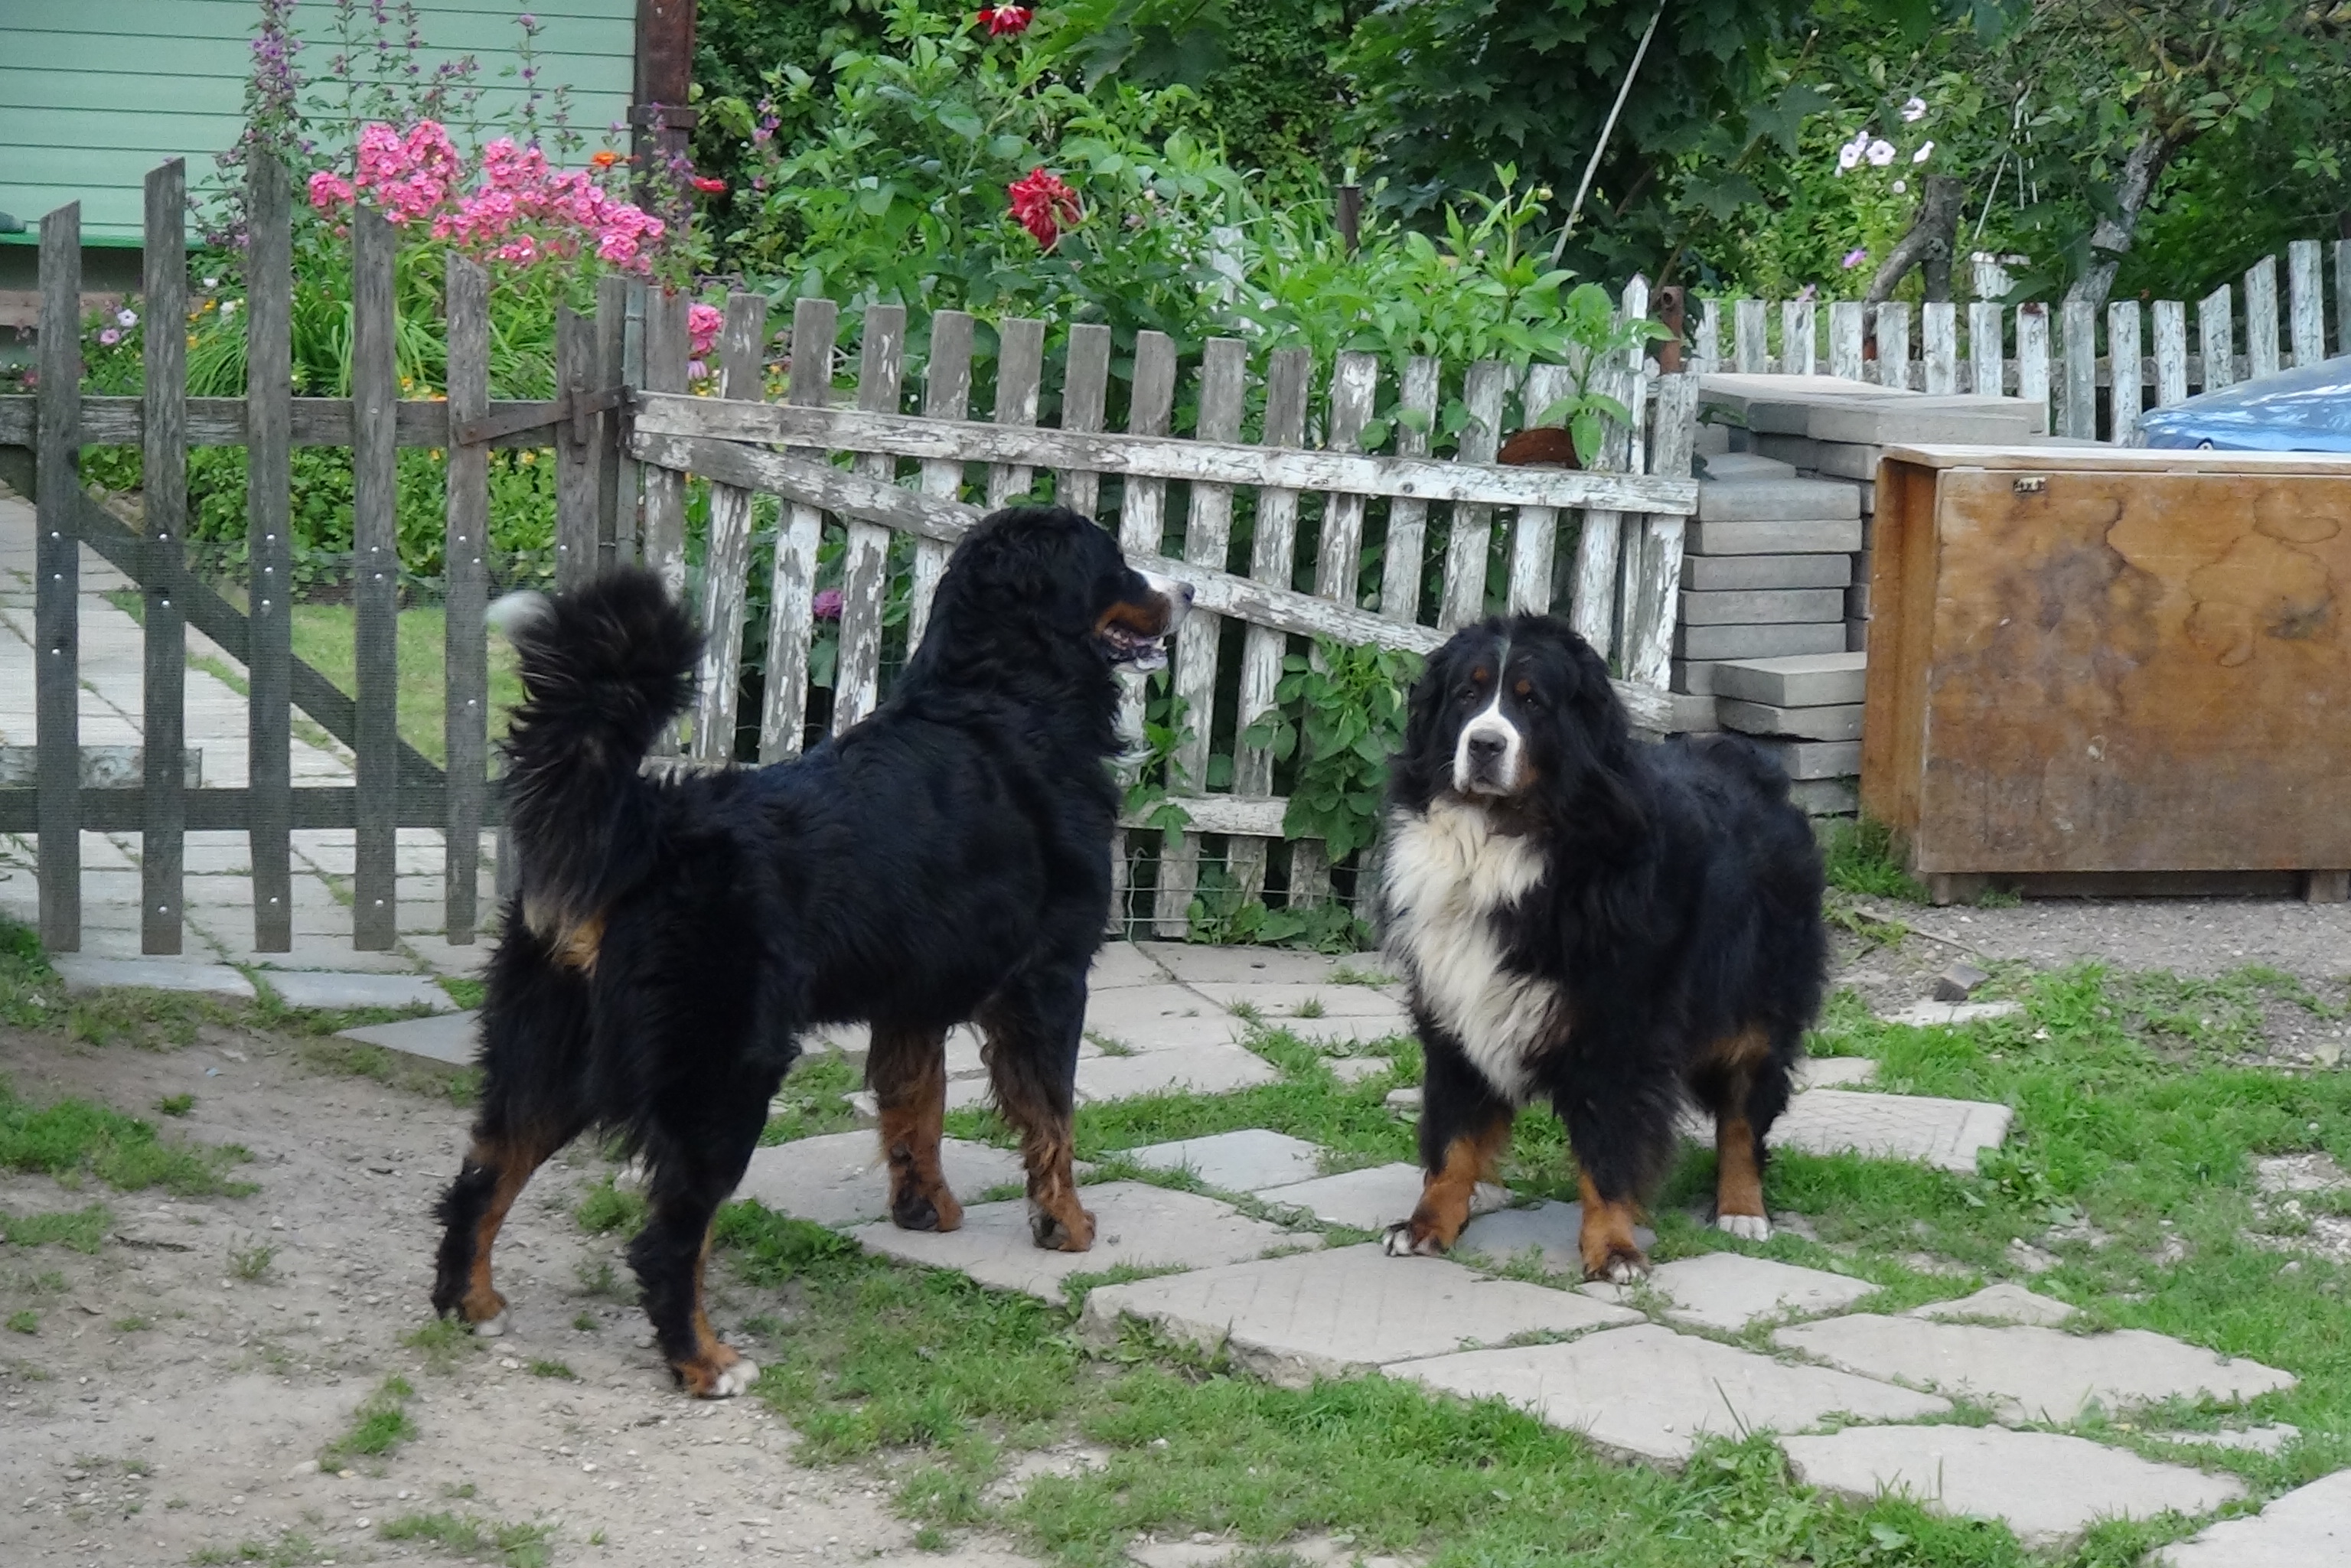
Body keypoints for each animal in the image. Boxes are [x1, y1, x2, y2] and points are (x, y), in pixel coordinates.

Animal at [426, 510, 1185, 1391]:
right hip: (722, 1072)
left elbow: (916, 1109)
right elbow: (1052, 1119)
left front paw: (925, 1210)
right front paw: (1066, 1224)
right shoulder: (1049, 981)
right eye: (1118, 563)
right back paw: (706, 1362)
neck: (1000, 699)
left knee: (483, 1176)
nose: (1186, 588)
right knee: (669, 1238)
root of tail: (641, 827)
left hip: (549, 1053)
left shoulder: (913, 995)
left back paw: (471, 1303)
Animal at [1373, 615, 1834, 1288]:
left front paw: (1613, 1248)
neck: (1502, 845)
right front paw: (1427, 1223)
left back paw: (1742, 1210)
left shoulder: (1618, 1030)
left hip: (1757, 1008)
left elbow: (1610, 1150)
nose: (1484, 744)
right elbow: (1453, 1134)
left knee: (1745, 1112)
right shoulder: (1453, 1009)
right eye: (1466, 694)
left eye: (1533, 701)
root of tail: (1751, 762)